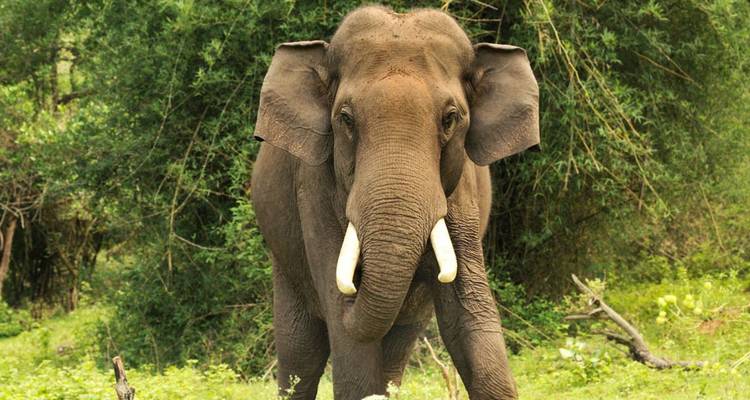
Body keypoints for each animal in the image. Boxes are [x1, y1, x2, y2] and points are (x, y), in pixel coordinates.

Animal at [251, 5, 539, 400]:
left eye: (451, 118)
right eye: (345, 119)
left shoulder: (461, 193)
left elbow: (467, 315)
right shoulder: (312, 189)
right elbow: (347, 336)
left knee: (396, 346)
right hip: (284, 259)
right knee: (301, 353)